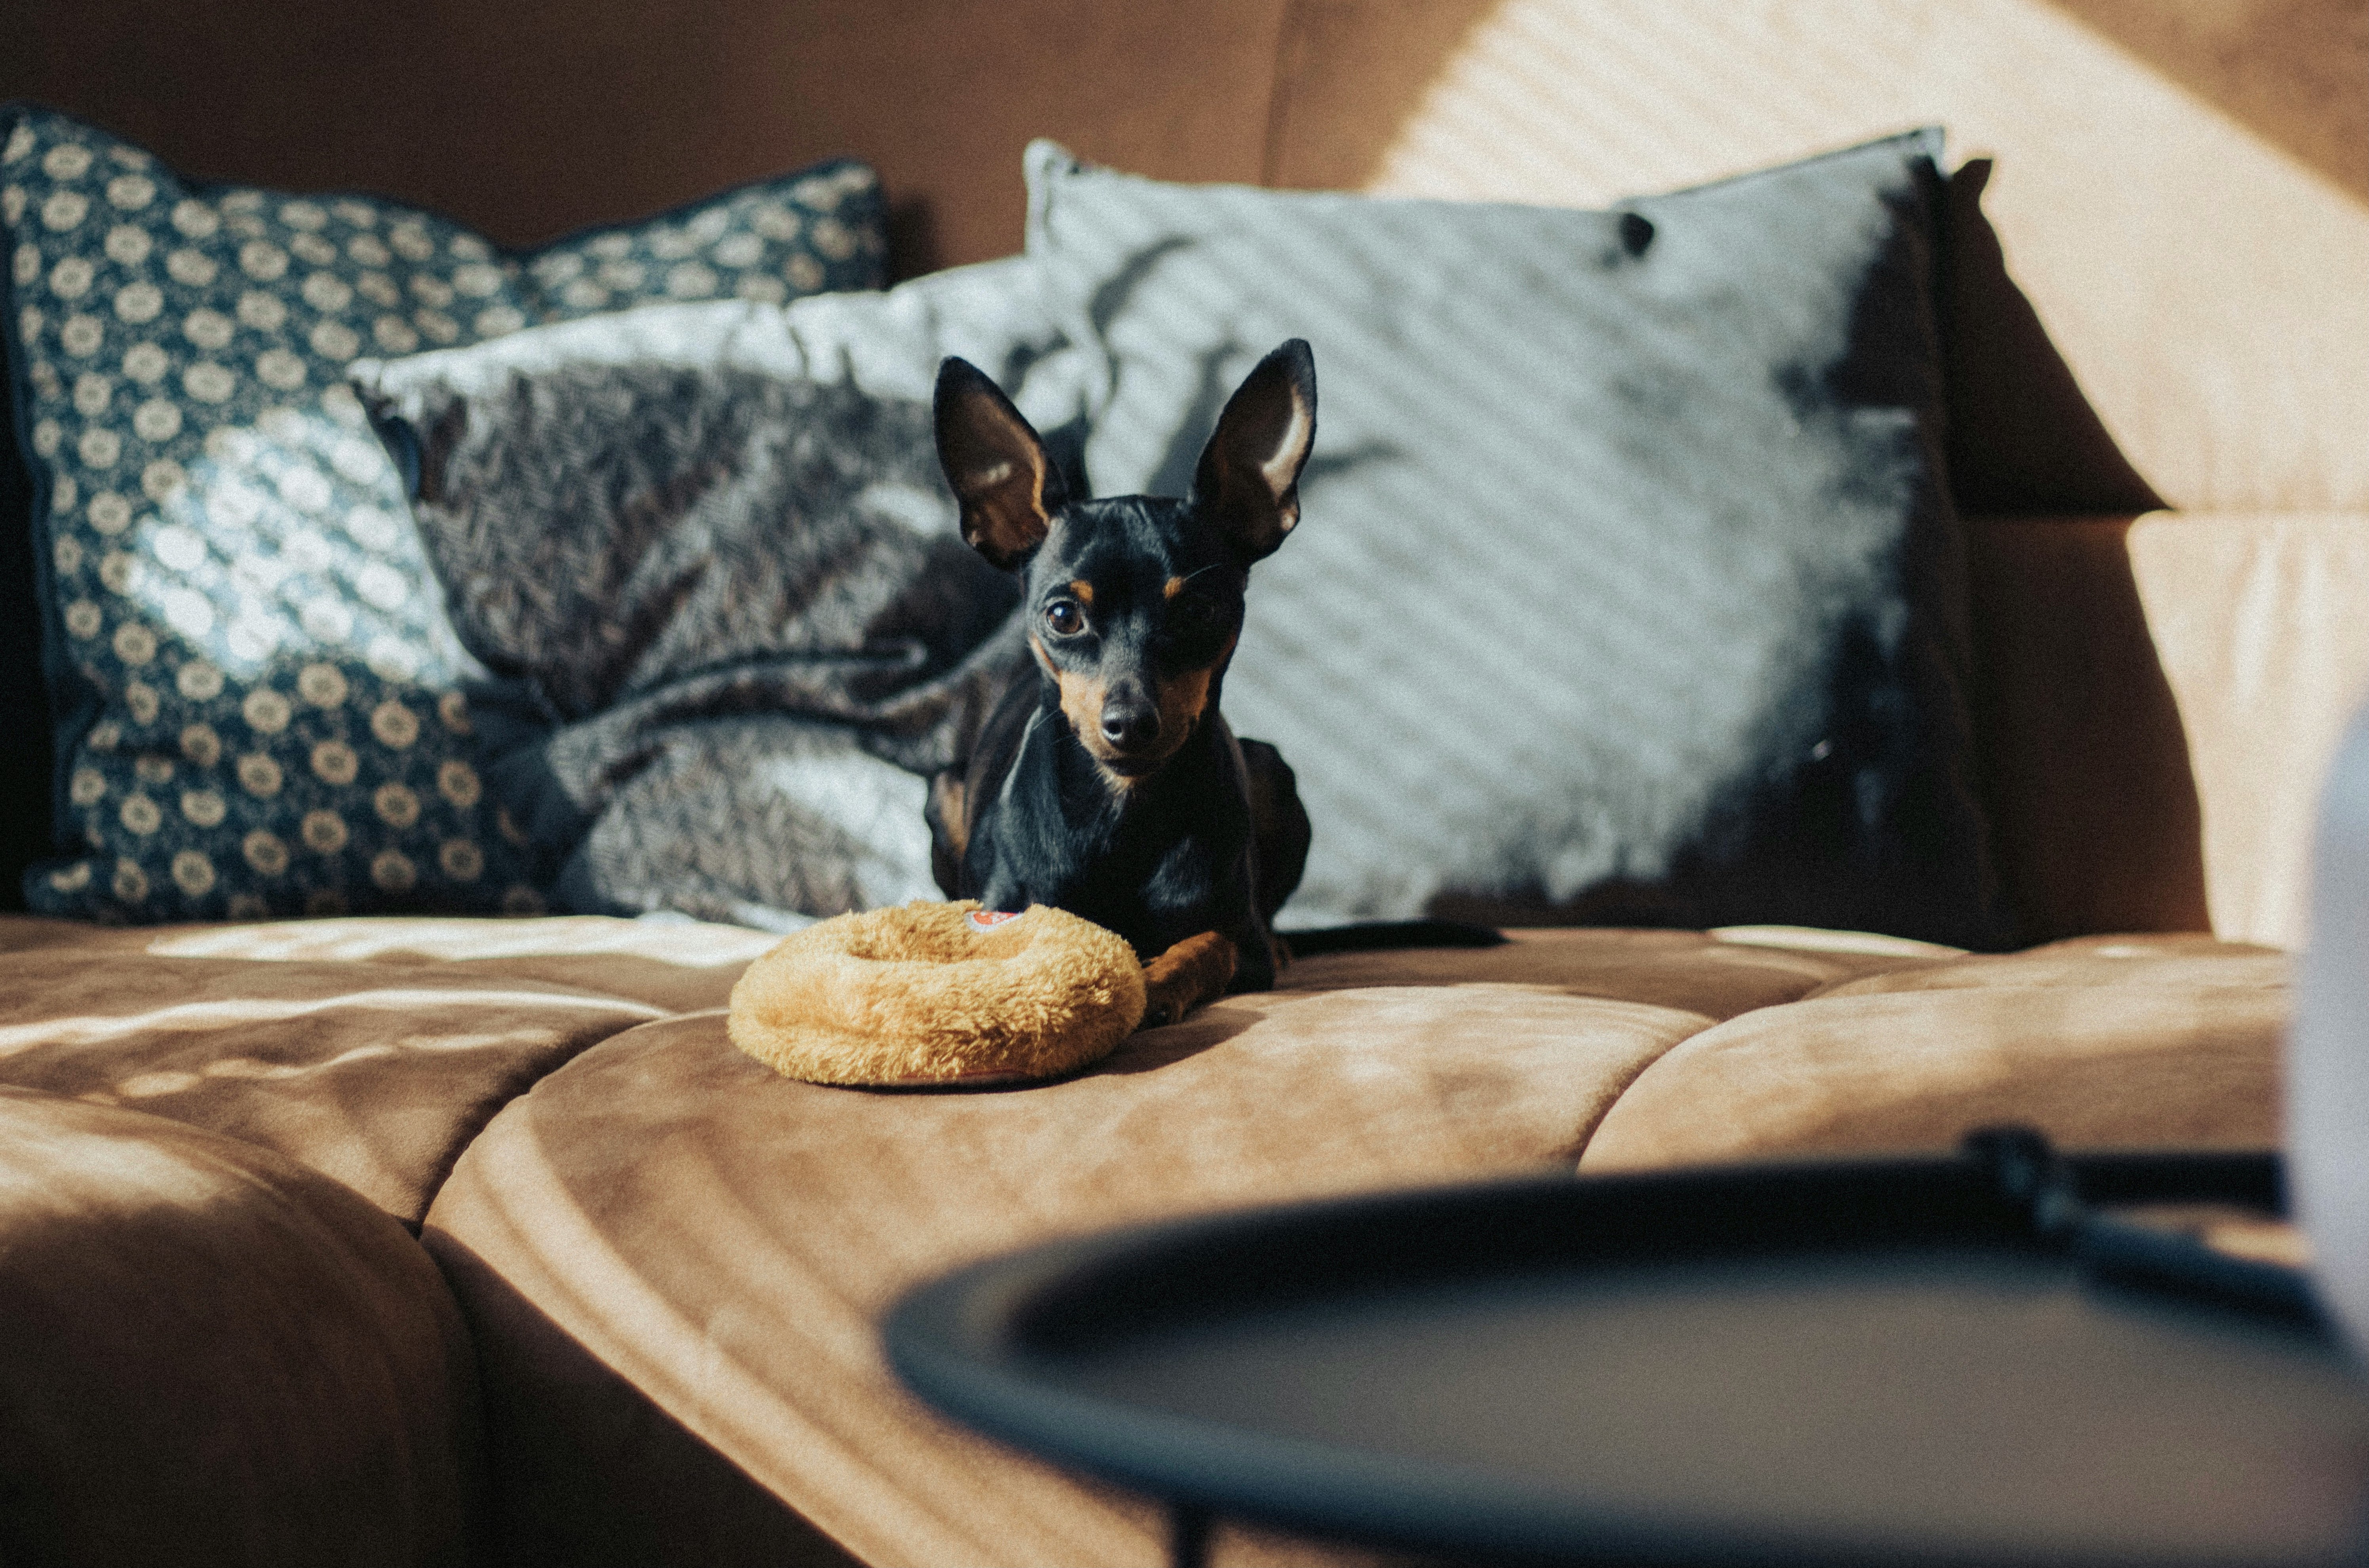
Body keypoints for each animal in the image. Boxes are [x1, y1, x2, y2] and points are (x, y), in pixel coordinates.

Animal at [924, 343, 1326, 1028]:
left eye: (1197, 612)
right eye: (1063, 616)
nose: (1131, 723)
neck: (1121, 812)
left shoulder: (1238, 943)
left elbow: (1206, 944)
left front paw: (1155, 979)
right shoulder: (999, 912)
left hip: (1274, 774)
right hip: (943, 793)